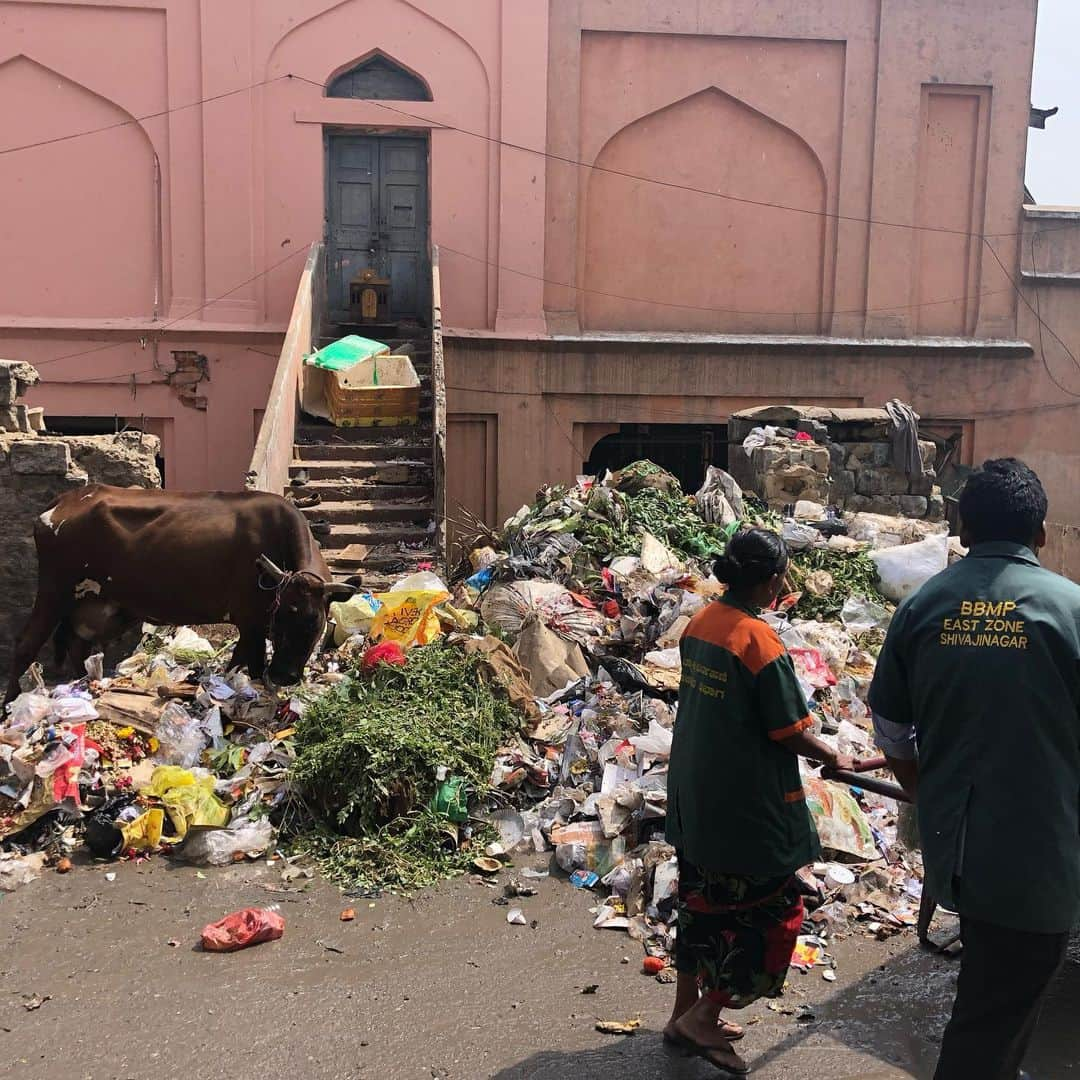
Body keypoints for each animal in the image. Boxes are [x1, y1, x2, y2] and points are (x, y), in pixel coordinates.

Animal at [6, 488, 356, 704]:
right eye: (280, 617)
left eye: (314, 622)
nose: (283, 676)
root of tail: (65, 500)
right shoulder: (252, 622)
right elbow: (253, 667)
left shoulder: (250, 627)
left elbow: (237, 663)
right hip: (54, 590)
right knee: (25, 645)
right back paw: (9, 705)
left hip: (93, 604)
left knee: (78, 648)